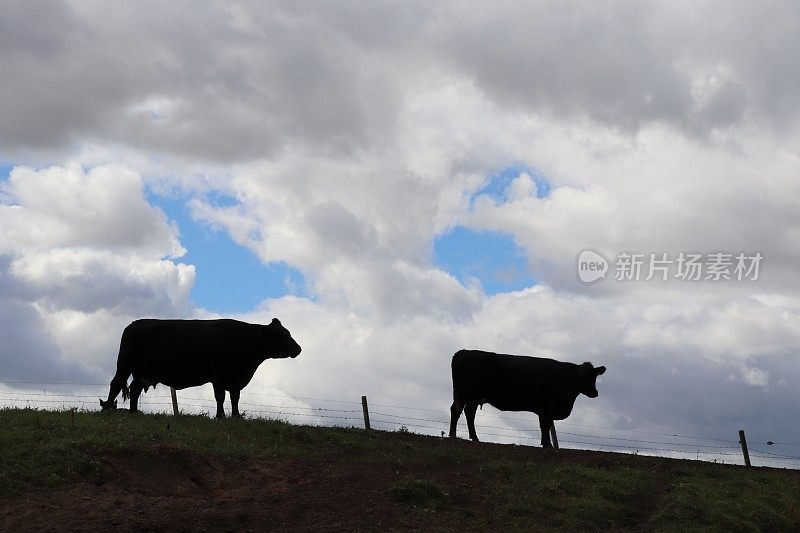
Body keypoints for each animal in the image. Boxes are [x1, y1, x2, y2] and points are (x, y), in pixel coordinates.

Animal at [100, 318, 300, 418]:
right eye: (282, 335)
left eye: (288, 332)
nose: (298, 349)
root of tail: (133, 324)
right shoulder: (218, 376)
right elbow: (220, 397)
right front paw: (220, 416)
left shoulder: (235, 379)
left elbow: (235, 398)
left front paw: (236, 416)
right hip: (124, 363)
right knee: (116, 383)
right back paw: (108, 407)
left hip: (142, 372)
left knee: (134, 389)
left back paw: (134, 412)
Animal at [446, 348, 604, 446]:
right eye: (586, 377)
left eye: (594, 375)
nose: (595, 393)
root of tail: (464, 352)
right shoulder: (546, 408)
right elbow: (545, 425)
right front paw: (547, 444)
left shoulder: (544, 410)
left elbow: (544, 426)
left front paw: (545, 443)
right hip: (472, 395)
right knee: (469, 413)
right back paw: (474, 437)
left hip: (461, 394)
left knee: (456, 410)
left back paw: (452, 434)